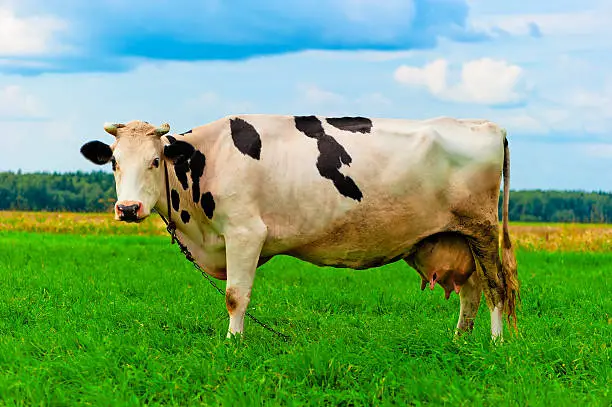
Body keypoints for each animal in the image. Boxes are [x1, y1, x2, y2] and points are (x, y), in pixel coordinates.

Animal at [79, 115, 520, 342]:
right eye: (114, 162)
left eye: (155, 161)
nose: (128, 208)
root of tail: (488, 125)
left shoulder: (245, 232)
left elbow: (235, 296)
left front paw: (233, 344)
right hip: (454, 237)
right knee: (471, 291)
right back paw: (459, 342)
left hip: (482, 229)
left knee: (497, 288)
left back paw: (496, 343)